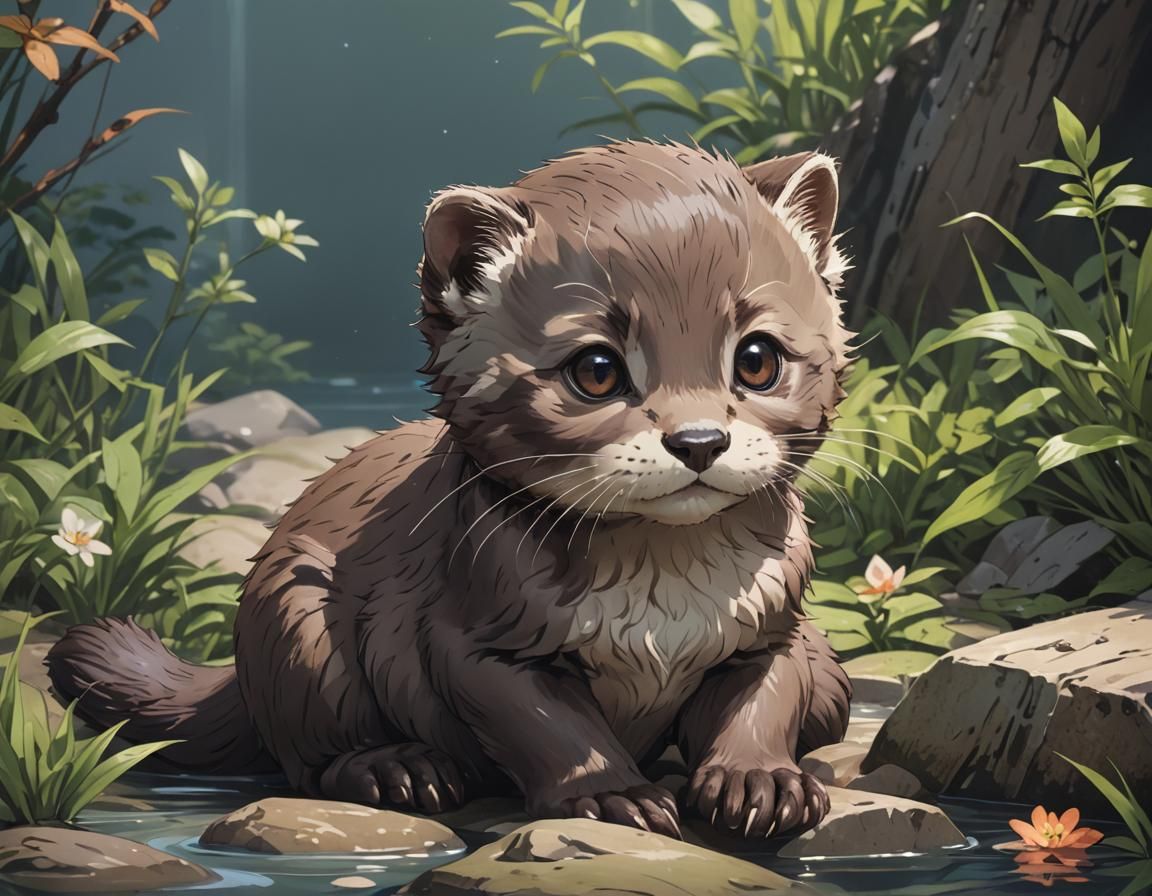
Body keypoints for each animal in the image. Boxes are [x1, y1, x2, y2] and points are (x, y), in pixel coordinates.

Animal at [49, 141, 853, 840]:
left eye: (757, 358)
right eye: (596, 369)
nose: (698, 441)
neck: (667, 607)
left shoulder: (774, 630)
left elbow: (761, 704)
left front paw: (760, 784)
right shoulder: (477, 641)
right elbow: (552, 730)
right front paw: (610, 795)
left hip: (831, 674)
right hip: (298, 616)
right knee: (310, 757)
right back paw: (399, 769)